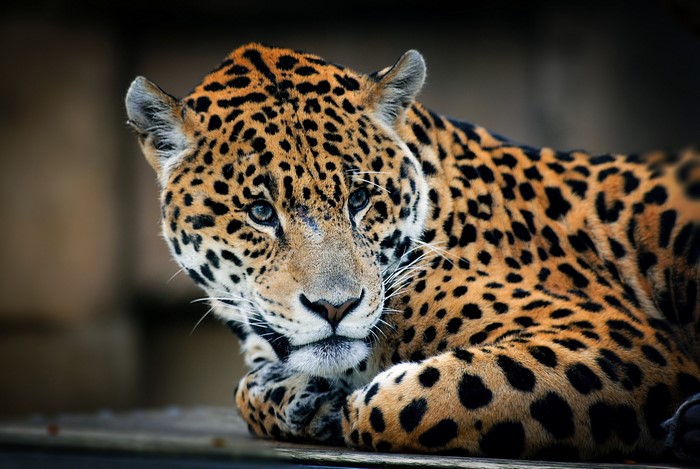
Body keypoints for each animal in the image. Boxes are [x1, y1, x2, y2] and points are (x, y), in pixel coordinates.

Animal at [125, 43, 700, 462]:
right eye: (260, 212)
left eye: (360, 199)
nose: (335, 307)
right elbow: (244, 390)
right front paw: (300, 398)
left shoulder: (614, 339)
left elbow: (414, 399)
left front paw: (341, 405)